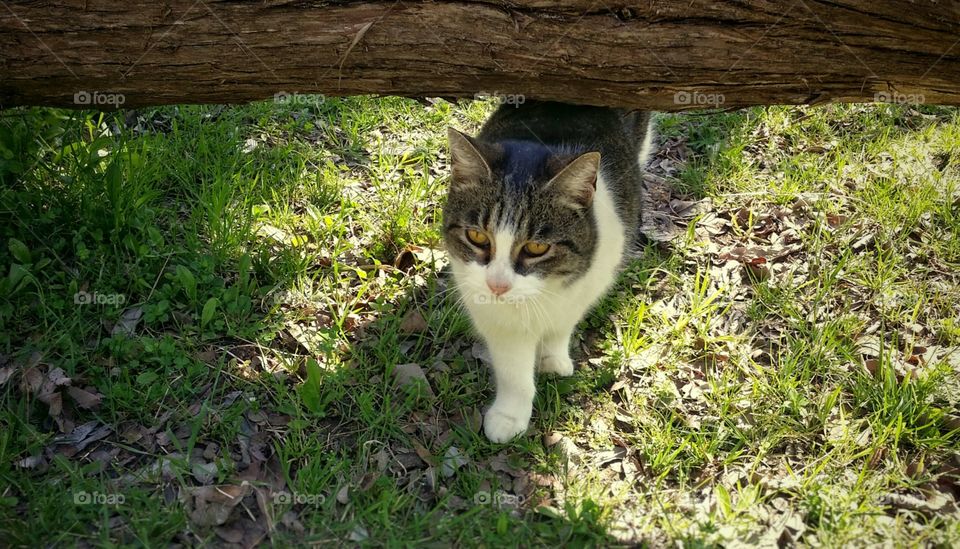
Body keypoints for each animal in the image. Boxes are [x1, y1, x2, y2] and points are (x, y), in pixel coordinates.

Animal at [440, 99, 652, 440]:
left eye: (537, 248)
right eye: (477, 237)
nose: (498, 286)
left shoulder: (587, 284)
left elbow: (562, 324)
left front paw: (553, 358)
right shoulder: (488, 306)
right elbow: (513, 367)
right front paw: (510, 416)